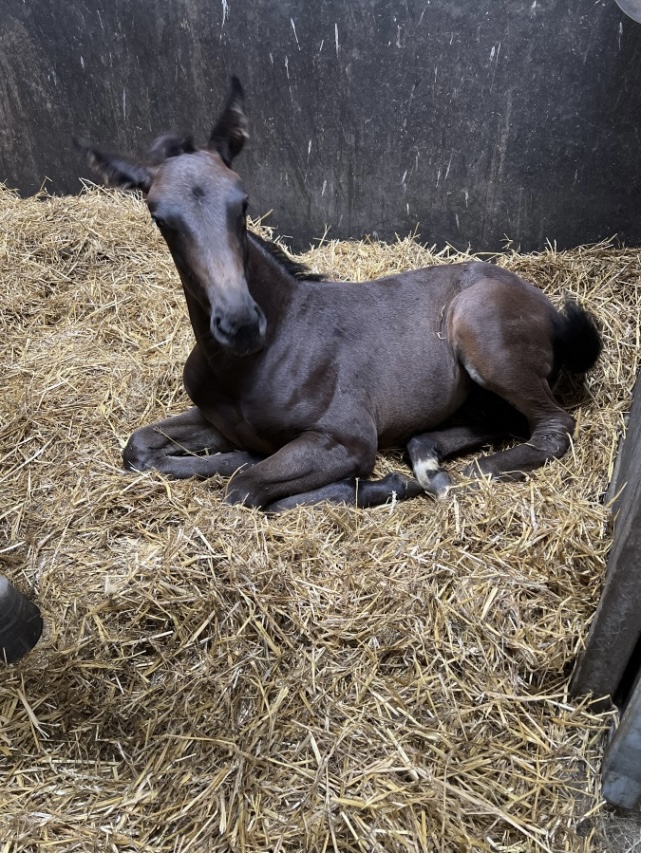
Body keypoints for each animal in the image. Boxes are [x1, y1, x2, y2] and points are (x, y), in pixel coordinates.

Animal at [77, 77, 602, 512]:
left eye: (242, 201)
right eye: (160, 217)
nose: (240, 323)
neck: (257, 357)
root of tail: (549, 310)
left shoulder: (346, 438)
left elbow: (245, 488)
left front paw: (377, 486)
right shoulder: (216, 420)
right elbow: (140, 448)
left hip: (483, 335)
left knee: (551, 429)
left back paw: (445, 477)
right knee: (503, 423)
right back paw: (426, 456)